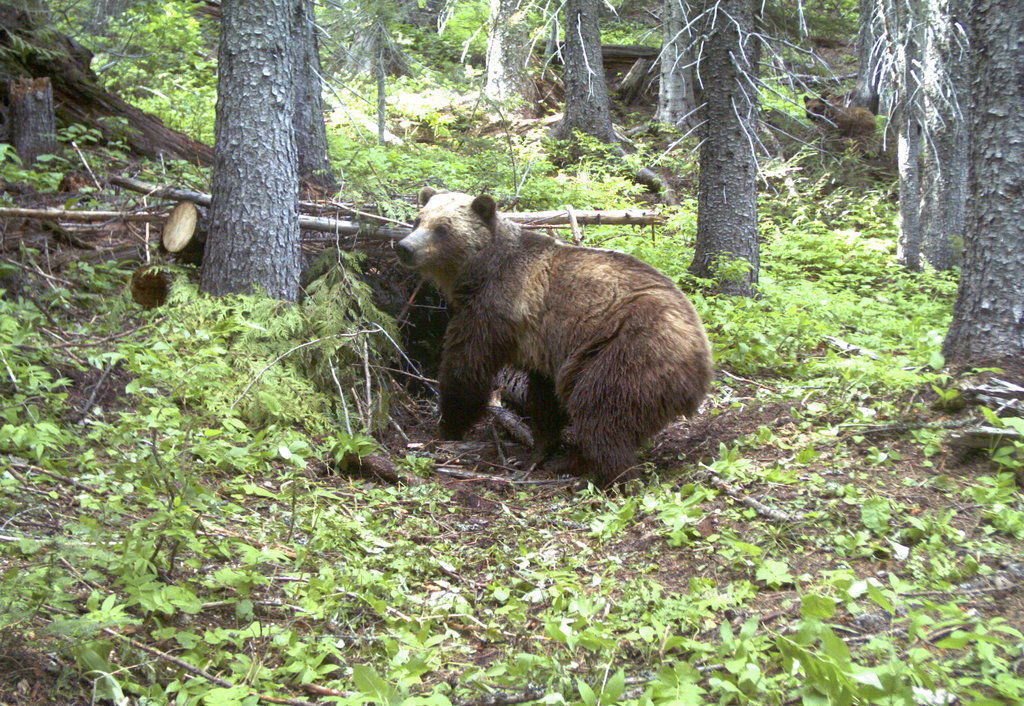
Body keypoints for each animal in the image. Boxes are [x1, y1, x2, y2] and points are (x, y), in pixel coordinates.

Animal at [391, 187, 712, 483]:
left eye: (442, 228)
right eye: (418, 220)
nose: (404, 247)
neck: (479, 272)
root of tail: (702, 367)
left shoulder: (495, 310)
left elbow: (466, 367)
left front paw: (448, 424)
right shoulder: (541, 344)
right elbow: (544, 398)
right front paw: (541, 446)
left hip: (629, 348)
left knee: (600, 410)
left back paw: (600, 469)